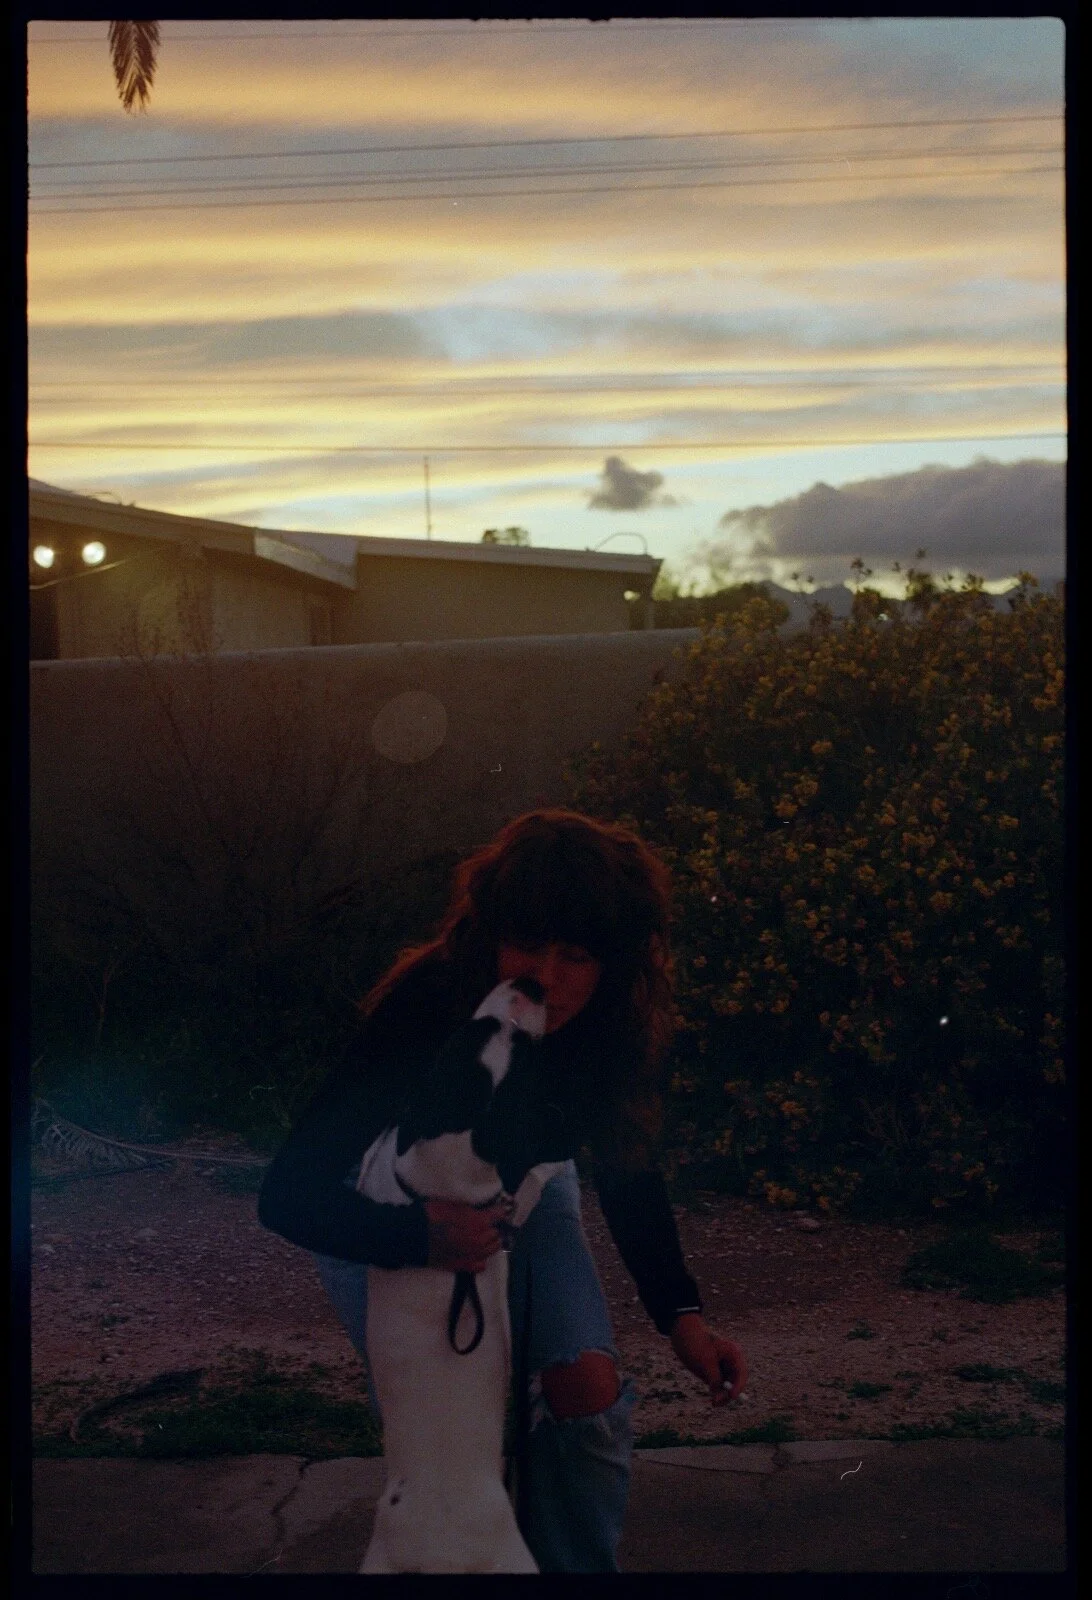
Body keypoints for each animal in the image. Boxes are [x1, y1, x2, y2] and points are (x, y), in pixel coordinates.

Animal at [354, 977, 569, 1573]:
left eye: (467, 1032)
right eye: (517, 1048)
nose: (529, 984)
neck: (442, 1184)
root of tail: (439, 1557)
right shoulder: (509, 1200)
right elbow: (532, 1177)